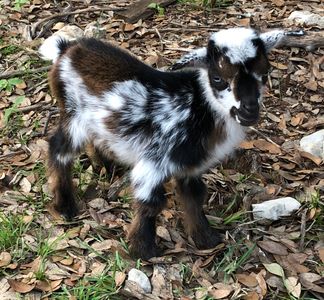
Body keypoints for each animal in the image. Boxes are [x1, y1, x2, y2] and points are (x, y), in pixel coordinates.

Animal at [39, 27, 284, 258]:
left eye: (264, 72)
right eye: (217, 78)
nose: (249, 110)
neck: (198, 108)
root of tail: (67, 49)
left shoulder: (188, 167)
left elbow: (194, 194)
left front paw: (206, 239)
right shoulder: (155, 161)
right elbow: (151, 203)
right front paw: (143, 251)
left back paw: (105, 167)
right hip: (74, 114)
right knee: (58, 150)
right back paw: (65, 207)